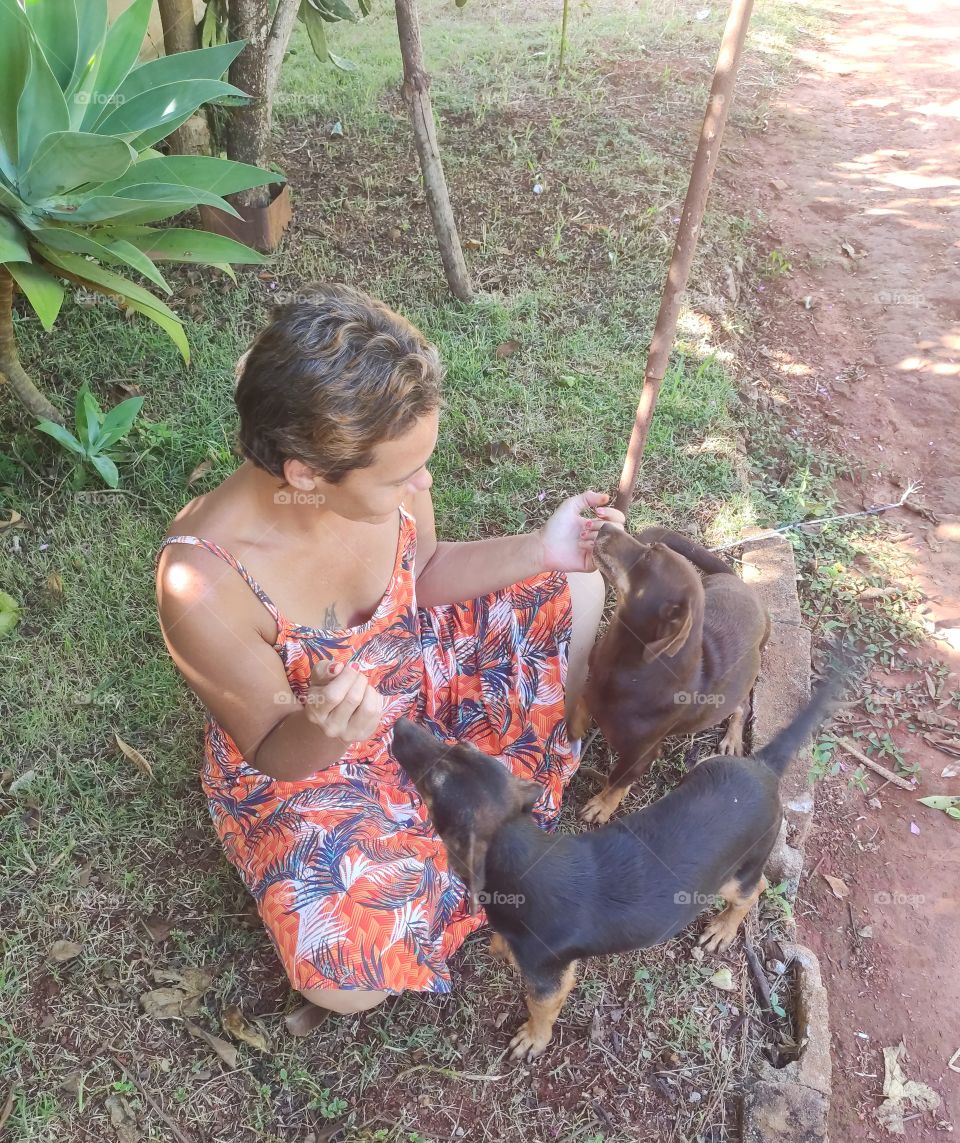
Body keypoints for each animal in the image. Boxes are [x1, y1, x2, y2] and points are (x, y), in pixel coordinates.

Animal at [390, 676, 841, 1060]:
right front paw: (500, 947)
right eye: (459, 748)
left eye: (435, 782)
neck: (521, 855)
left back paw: (723, 929)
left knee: (755, 889)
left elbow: (541, 1010)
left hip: (738, 872)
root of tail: (763, 765)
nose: (398, 724)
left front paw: (533, 1039)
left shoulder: (549, 980)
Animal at [569, 523, 772, 827]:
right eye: (653, 548)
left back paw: (733, 738)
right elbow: (583, 697)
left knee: (742, 706)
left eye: (649, 556)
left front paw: (601, 806)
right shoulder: (594, 680)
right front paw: (576, 725)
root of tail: (739, 581)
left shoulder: (642, 755)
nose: (605, 525)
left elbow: (618, 781)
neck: (625, 663)